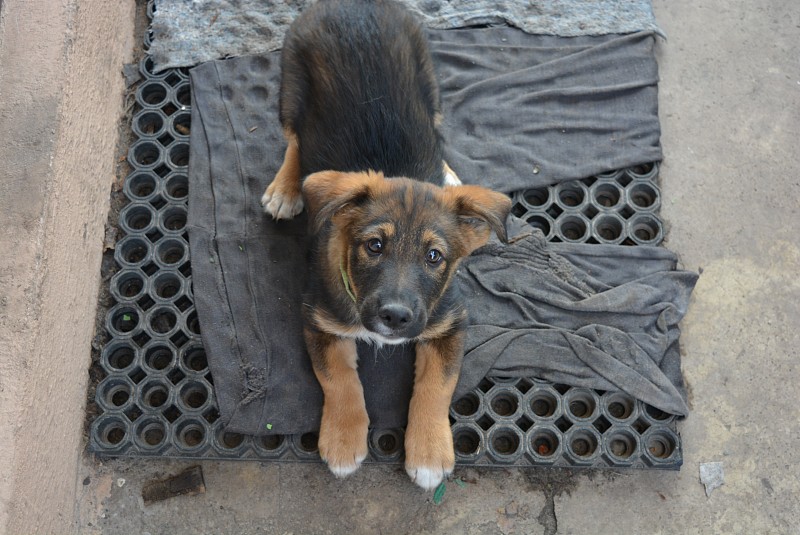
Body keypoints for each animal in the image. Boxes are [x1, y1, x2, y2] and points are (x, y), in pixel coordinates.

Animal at [262, 0, 512, 490]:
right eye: (373, 246)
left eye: (435, 257)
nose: (395, 317)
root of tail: (352, 5)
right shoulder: (317, 318)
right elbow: (339, 378)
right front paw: (343, 440)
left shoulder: (451, 321)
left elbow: (437, 386)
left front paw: (430, 452)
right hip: (291, 85)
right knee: (296, 139)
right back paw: (286, 187)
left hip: (430, 85)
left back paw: (449, 176)